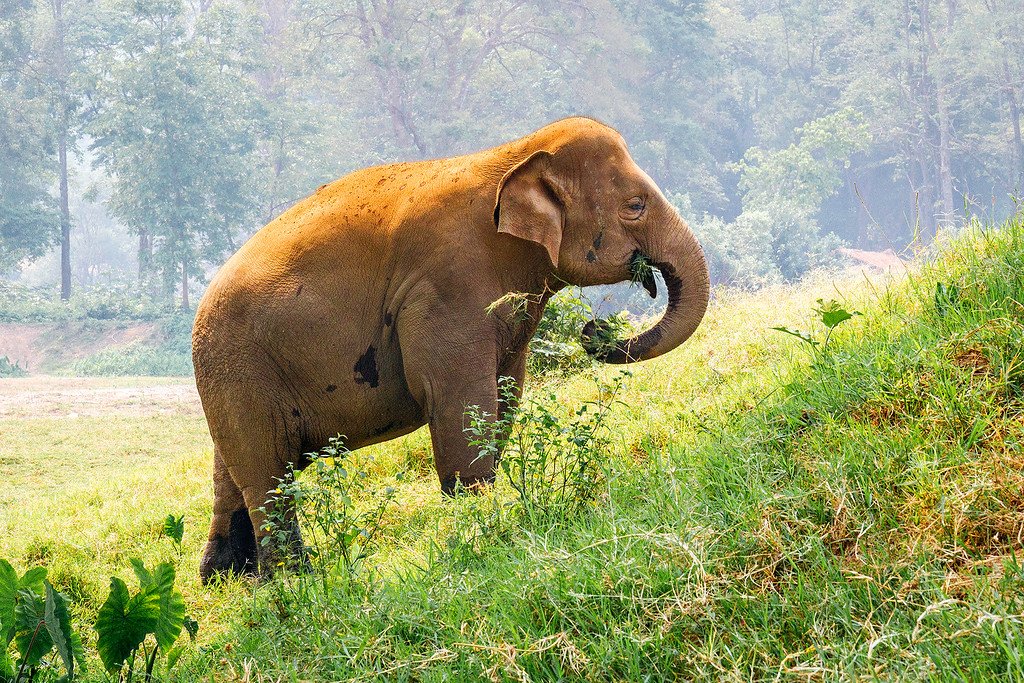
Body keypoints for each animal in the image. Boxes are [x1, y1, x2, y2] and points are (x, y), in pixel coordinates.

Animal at [192, 117, 710, 581]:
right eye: (635, 206)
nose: (594, 330)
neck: (515, 151)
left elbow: (505, 392)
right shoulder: (446, 286)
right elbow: (459, 397)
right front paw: (479, 521)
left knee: (234, 472)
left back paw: (229, 579)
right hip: (241, 370)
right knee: (268, 473)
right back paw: (297, 578)